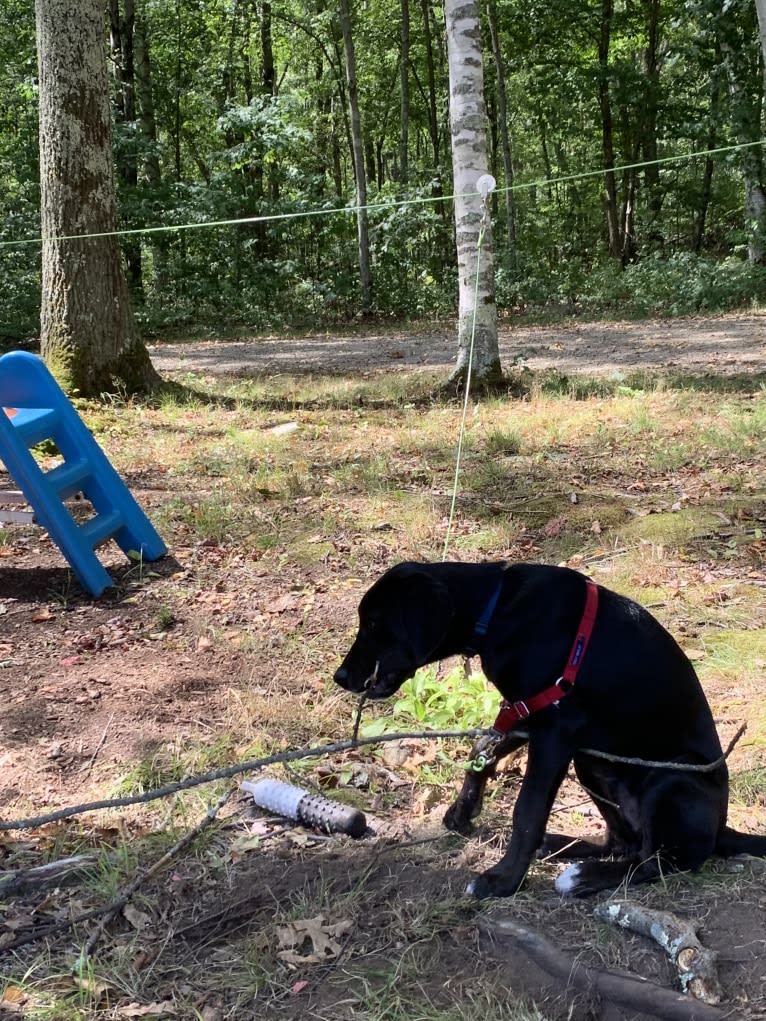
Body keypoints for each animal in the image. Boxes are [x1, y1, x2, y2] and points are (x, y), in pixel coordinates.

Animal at [334, 563, 766, 898]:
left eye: (374, 624)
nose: (340, 676)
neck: (499, 609)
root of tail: (721, 827)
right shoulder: (527, 711)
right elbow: (483, 748)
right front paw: (463, 810)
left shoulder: (556, 731)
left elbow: (527, 810)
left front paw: (502, 880)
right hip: (592, 765)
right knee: (625, 843)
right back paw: (562, 847)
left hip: (671, 779)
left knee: (658, 860)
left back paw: (584, 877)